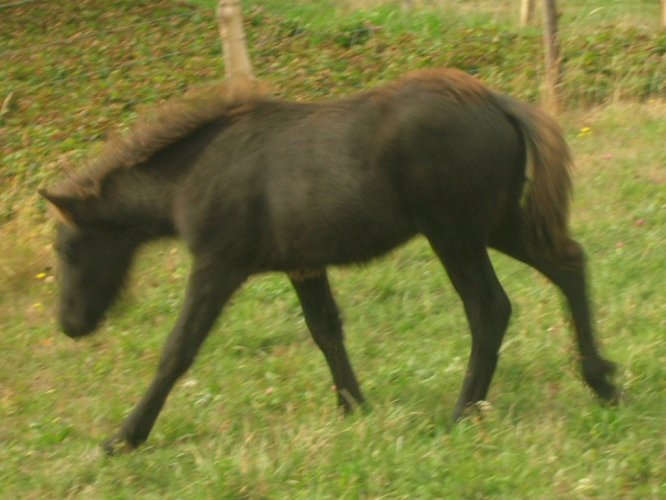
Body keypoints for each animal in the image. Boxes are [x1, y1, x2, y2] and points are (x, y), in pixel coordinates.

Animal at [39, 68, 618, 453]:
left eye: (66, 248)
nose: (70, 325)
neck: (196, 171)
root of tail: (497, 101)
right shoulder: (304, 265)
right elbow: (326, 331)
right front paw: (354, 408)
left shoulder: (217, 265)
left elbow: (179, 349)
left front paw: (124, 438)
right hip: (495, 223)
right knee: (569, 263)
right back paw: (602, 382)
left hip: (455, 234)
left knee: (490, 308)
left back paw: (463, 413)